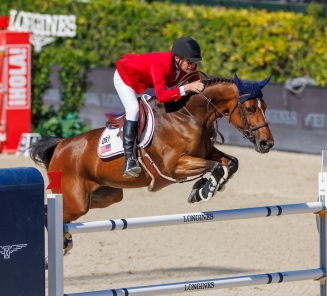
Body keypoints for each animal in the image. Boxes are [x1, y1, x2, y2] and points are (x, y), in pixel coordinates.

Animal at [29, 73, 274, 224]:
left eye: (265, 106)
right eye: (250, 109)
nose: (267, 143)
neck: (189, 117)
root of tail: (61, 146)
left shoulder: (204, 152)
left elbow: (230, 162)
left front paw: (205, 188)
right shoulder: (175, 166)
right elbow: (215, 166)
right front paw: (204, 190)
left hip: (105, 195)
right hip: (75, 201)